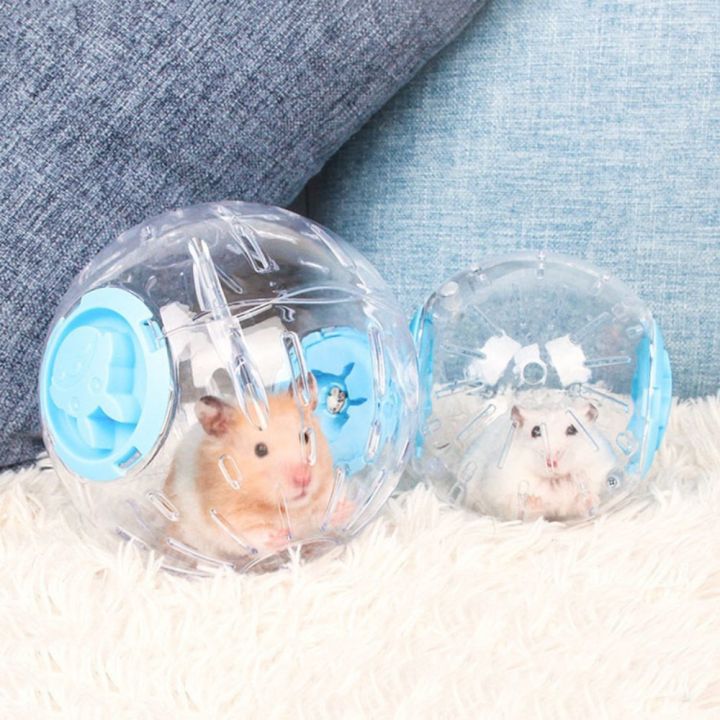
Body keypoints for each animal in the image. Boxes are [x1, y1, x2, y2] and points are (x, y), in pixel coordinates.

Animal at [164, 375, 348, 559]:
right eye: (260, 449)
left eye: (306, 437)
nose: (304, 479)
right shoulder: (227, 519)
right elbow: (254, 536)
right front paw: (282, 537)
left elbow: (325, 508)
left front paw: (345, 509)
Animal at [465, 402, 617, 522]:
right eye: (536, 431)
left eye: (572, 429)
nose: (551, 462)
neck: (555, 481)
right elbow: (524, 512)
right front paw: (534, 501)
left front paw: (589, 499)